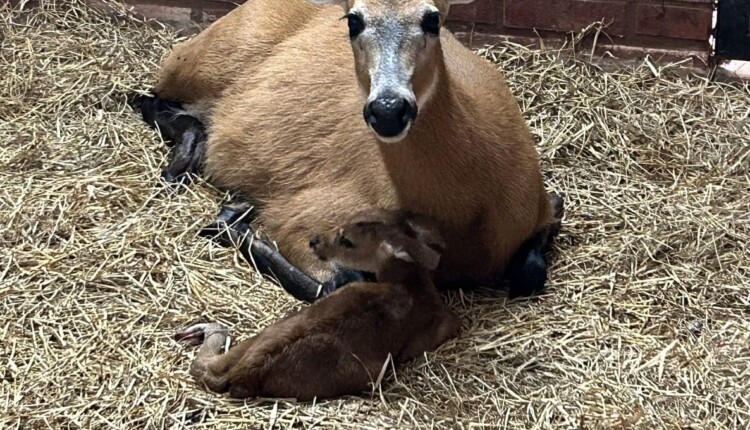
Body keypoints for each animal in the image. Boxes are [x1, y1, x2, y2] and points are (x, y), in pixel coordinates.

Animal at [141, 0, 564, 302]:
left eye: (432, 19)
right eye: (354, 21)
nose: (388, 109)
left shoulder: (544, 205)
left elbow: (531, 271)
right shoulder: (302, 217)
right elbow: (341, 282)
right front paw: (232, 219)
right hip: (197, 65)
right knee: (146, 97)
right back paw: (186, 168)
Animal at [173, 210, 462, 402]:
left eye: (348, 241)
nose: (314, 240)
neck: (412, 285)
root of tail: (246, 372)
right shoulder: (442, 327)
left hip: (273, 328)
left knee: (208, 363)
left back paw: (194, 331)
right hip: (365, 373)